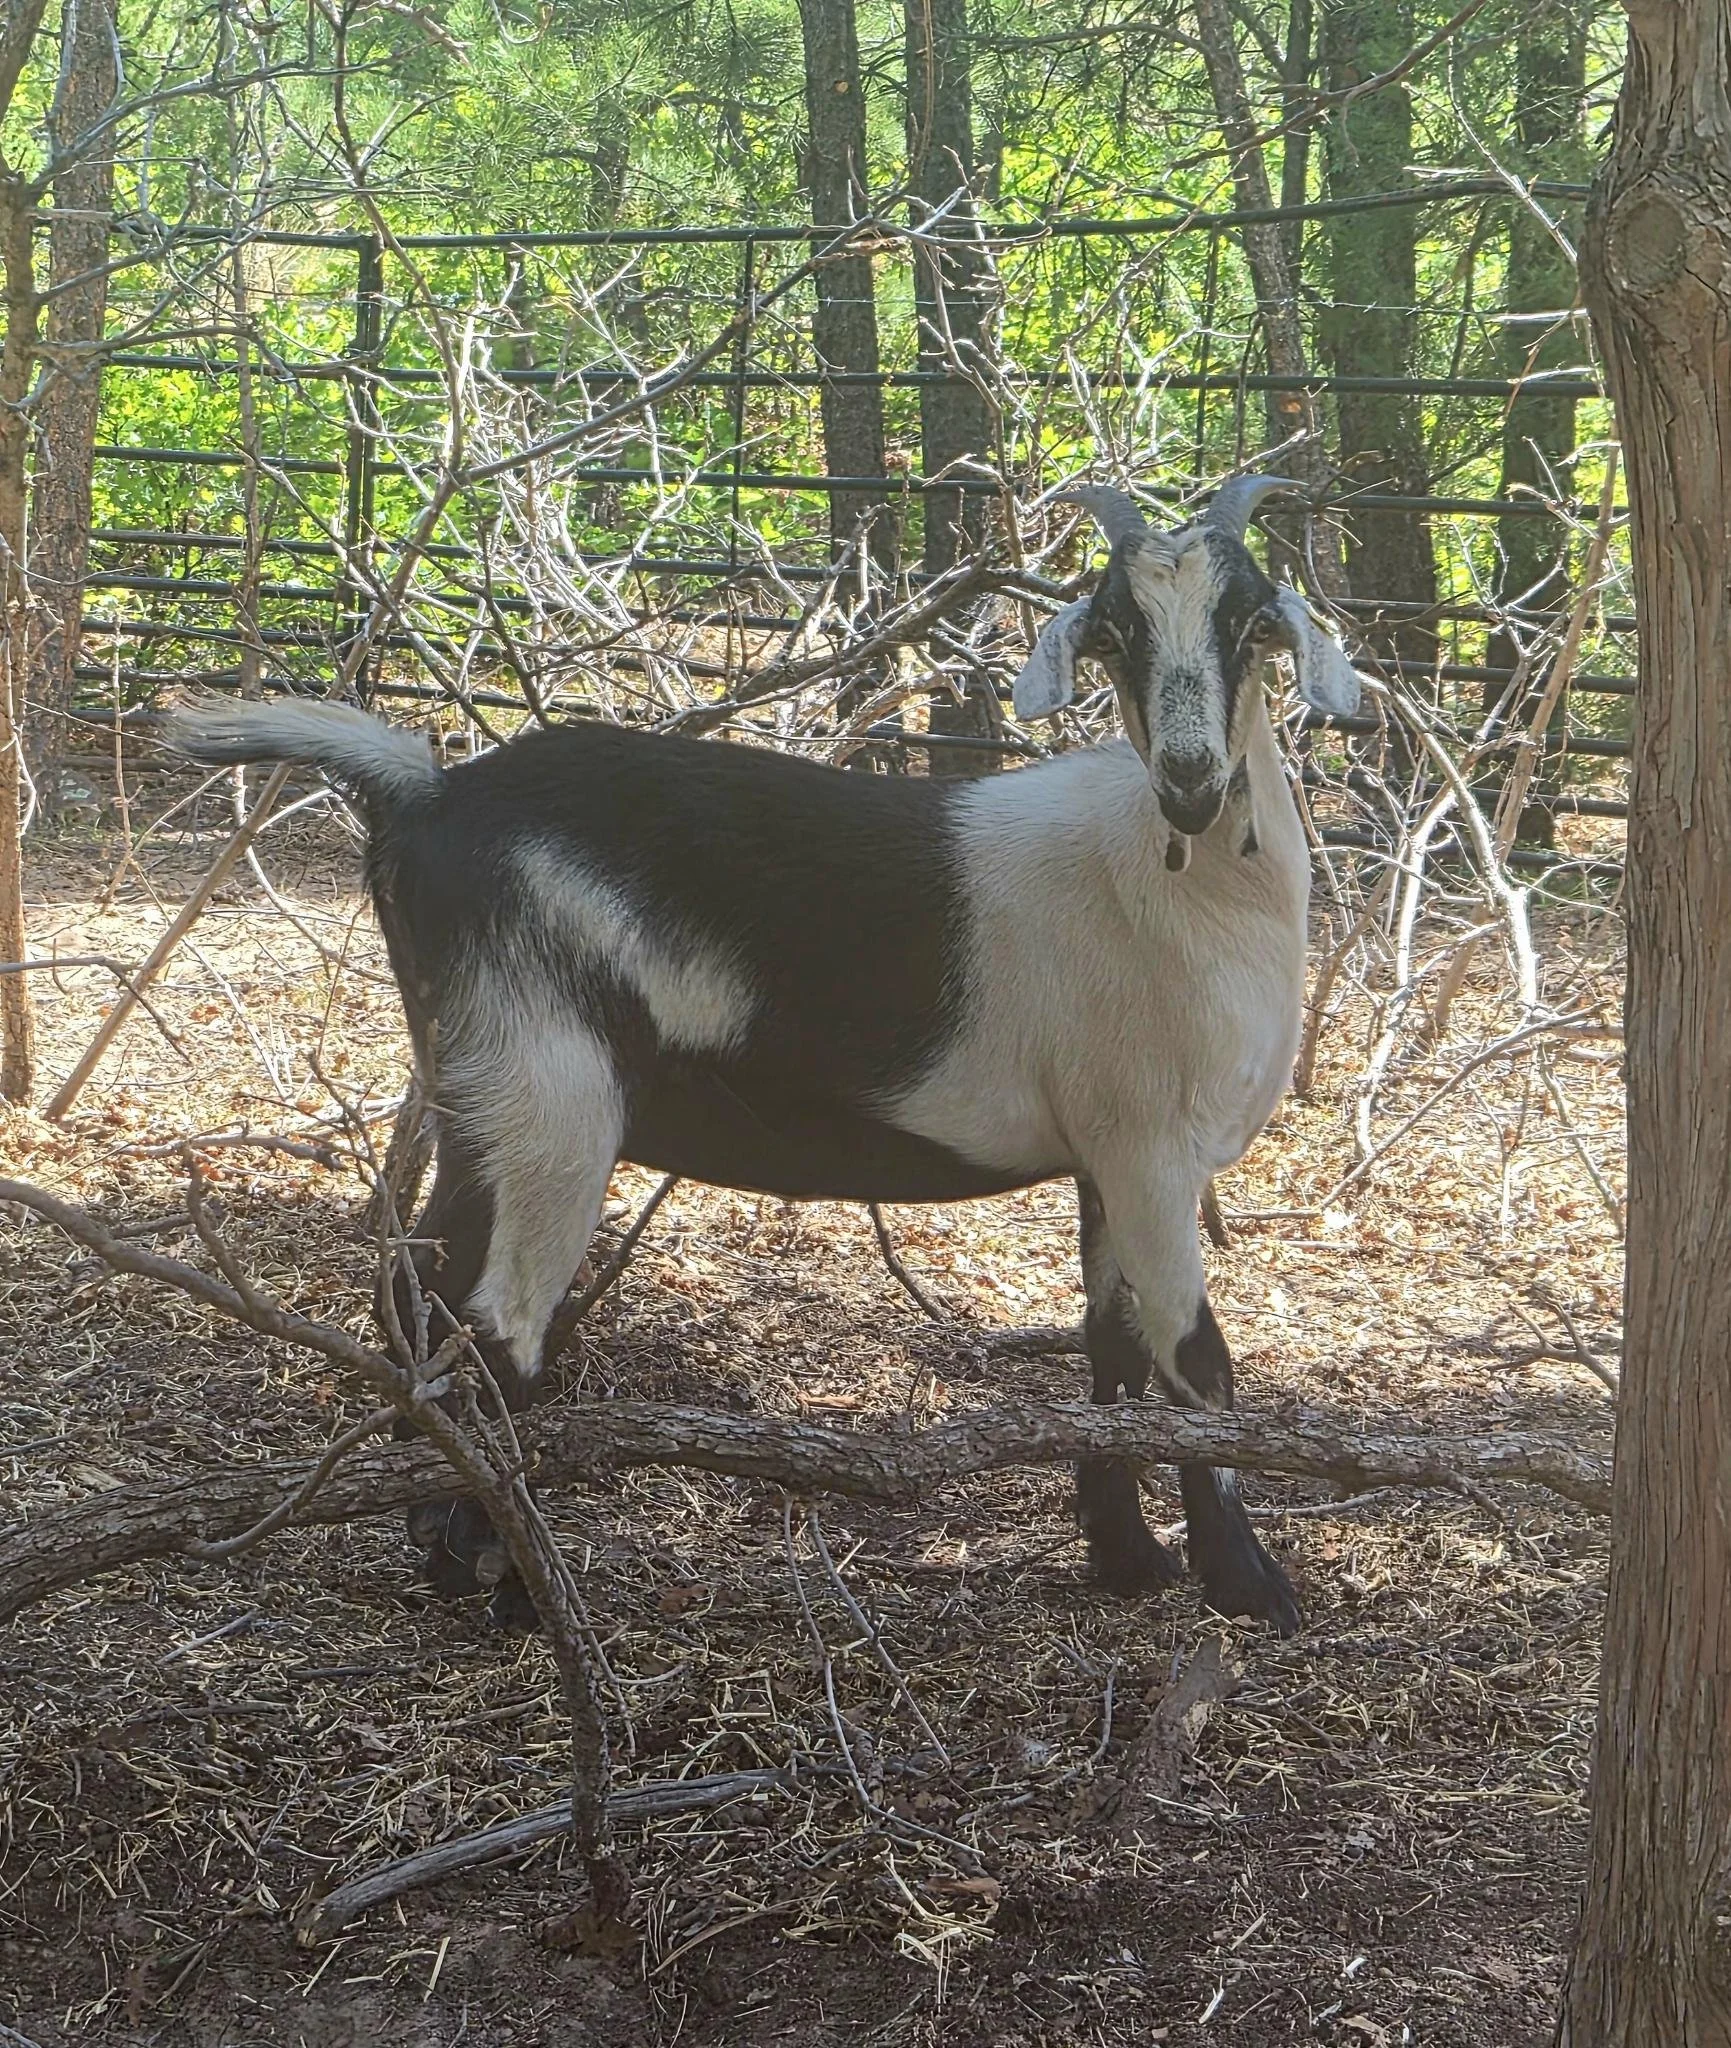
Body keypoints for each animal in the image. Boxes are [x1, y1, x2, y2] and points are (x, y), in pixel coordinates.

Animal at [163, 473, 1362, 1636]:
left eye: (1250, 620)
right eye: (1113, 630)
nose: (1193, 780)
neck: (1176, 880)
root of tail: (430, 788)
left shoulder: (1106, 1150)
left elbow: (1109, 1346)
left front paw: (1125, 1559)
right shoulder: (1151, 1147)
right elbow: (1196, 1358)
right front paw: (1248, 1585)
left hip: (476, 1084)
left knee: (419, 1288)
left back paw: (438, 1535)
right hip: (552, 1088)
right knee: (500, 1319)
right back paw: (511, 1584)